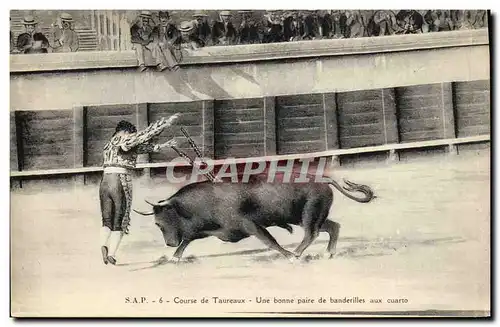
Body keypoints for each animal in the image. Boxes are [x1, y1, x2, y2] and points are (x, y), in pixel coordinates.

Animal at [133, 174, 376, 262]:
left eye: (163, 222)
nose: (168, 243)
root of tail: (322, 178)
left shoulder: (249, 225)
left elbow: (270, 241)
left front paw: (288, 255)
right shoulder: (211, 230)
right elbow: (187, 240)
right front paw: (174, 257)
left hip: (309, 215)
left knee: (311, 233)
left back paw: (297, 254)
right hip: (312, 216)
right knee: (333, 227)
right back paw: (328, 253)